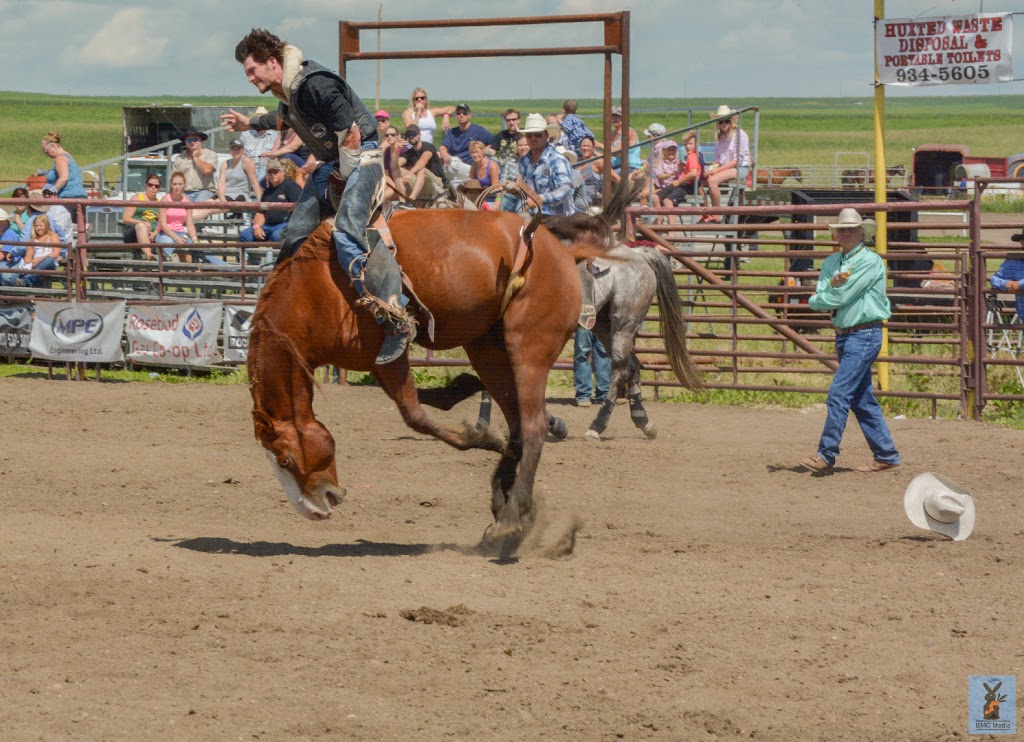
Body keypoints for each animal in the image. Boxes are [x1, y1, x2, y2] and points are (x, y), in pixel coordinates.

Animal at [246, 210, 598, 540]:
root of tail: (562, 252)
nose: (316, 509)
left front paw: (481, 437)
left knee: (533, 425)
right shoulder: (375, 362)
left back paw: (511, 517)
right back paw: (505, 499)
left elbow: (414, 415)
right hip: (487, 348)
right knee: (517, 425)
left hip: (528, 346)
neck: (313, 294)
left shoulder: (389, 353)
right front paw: (461, 390)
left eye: (285, 460)